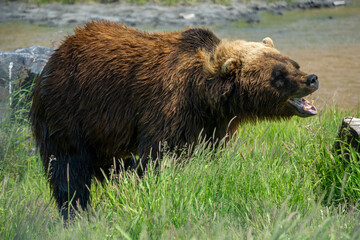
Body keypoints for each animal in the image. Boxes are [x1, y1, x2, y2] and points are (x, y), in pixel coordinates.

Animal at [29, 21, 320, 221]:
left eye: (293, 63)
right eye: (278, 75)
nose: (312, 78)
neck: (204, 95)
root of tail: (57, 54)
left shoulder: (210, 125)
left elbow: (204, 154)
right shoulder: (169, 107)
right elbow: (160, 156)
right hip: (70, 112)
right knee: (69, 170)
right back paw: (75, 212)